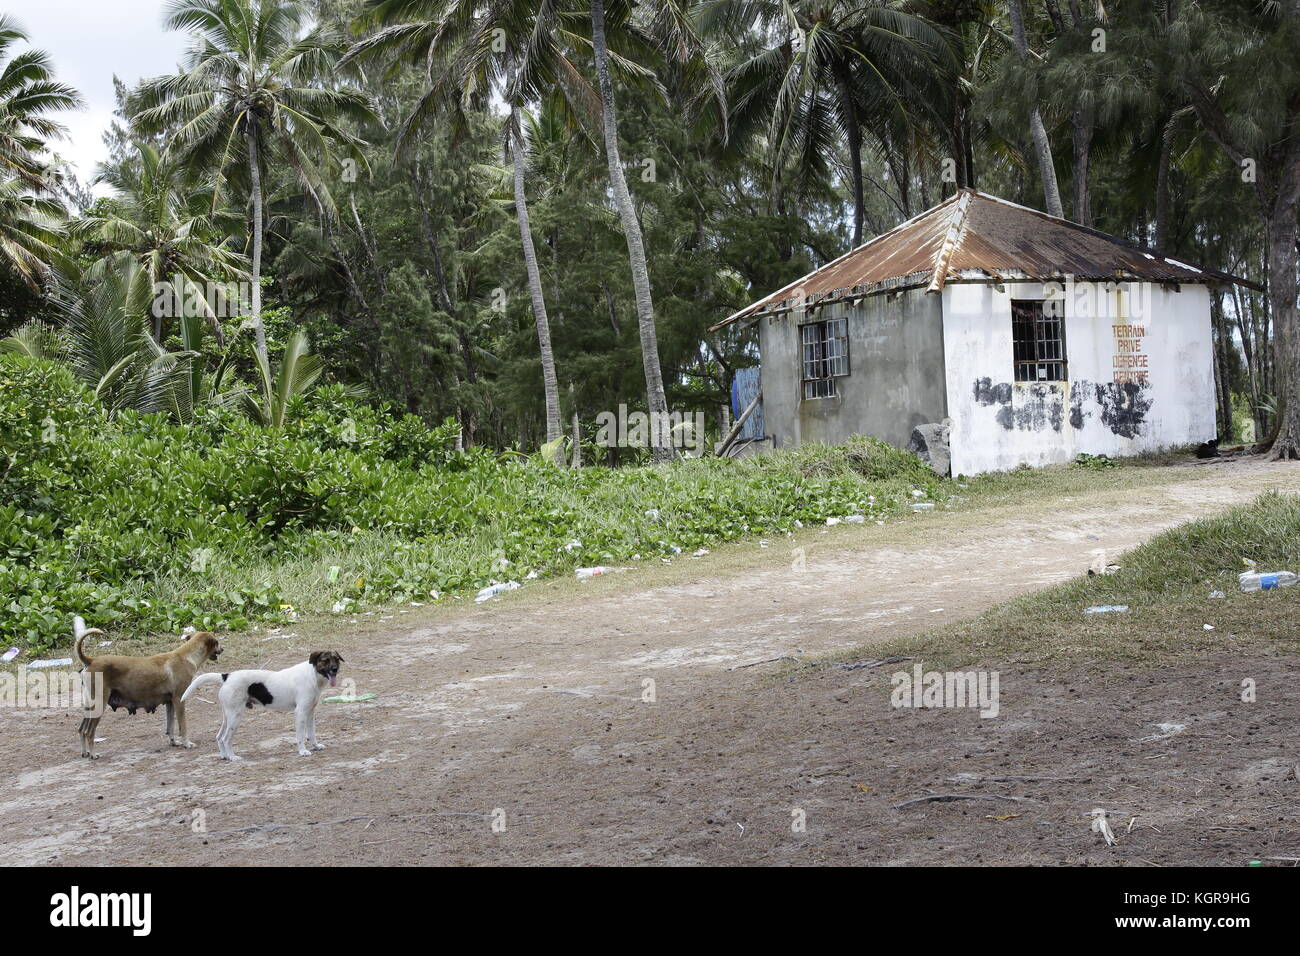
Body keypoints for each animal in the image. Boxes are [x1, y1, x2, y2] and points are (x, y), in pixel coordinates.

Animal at [75, 616, 222, 759]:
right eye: (217, 643)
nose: (222, 649)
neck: (186, 656)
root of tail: (91, 660)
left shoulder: (170, 703)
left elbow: (170, 726)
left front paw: (174, 742)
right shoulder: (179, 700)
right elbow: (182, 726)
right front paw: (186, 743)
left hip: (90, 707)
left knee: (81, 730)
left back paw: (84, 752)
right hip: (99, 705)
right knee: (89, 732)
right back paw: (93, 754)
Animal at [184, 650, 345, 764]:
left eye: (336, 659)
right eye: (325, 660)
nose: (335, 669)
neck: (312, 675)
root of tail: (226, 676)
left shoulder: (310, 712)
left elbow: (312, 733)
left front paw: (316, 746)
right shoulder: (300, 713)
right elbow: (300, 736)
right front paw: (303, 751)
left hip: (228, 716)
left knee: (218, 736)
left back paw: (225, 756)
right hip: (236, 717)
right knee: (225, 738)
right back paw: (233, 757)